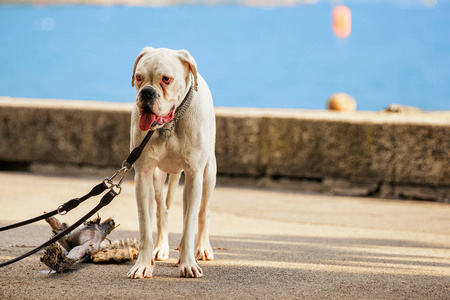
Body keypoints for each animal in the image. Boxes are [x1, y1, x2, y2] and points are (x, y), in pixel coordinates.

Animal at [127, 47, 217, 278]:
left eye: (166, 79)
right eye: (139, 77)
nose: (147, 92)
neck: (170, 125)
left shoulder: (194, 175)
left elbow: (189, 224)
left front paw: (187, 263)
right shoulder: (143, 175)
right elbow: (145, 224)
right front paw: (143, 264)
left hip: (208, 175)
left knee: (202, 212)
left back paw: (202, 247)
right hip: (157, 179)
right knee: (161, 210)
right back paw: (160, 248)